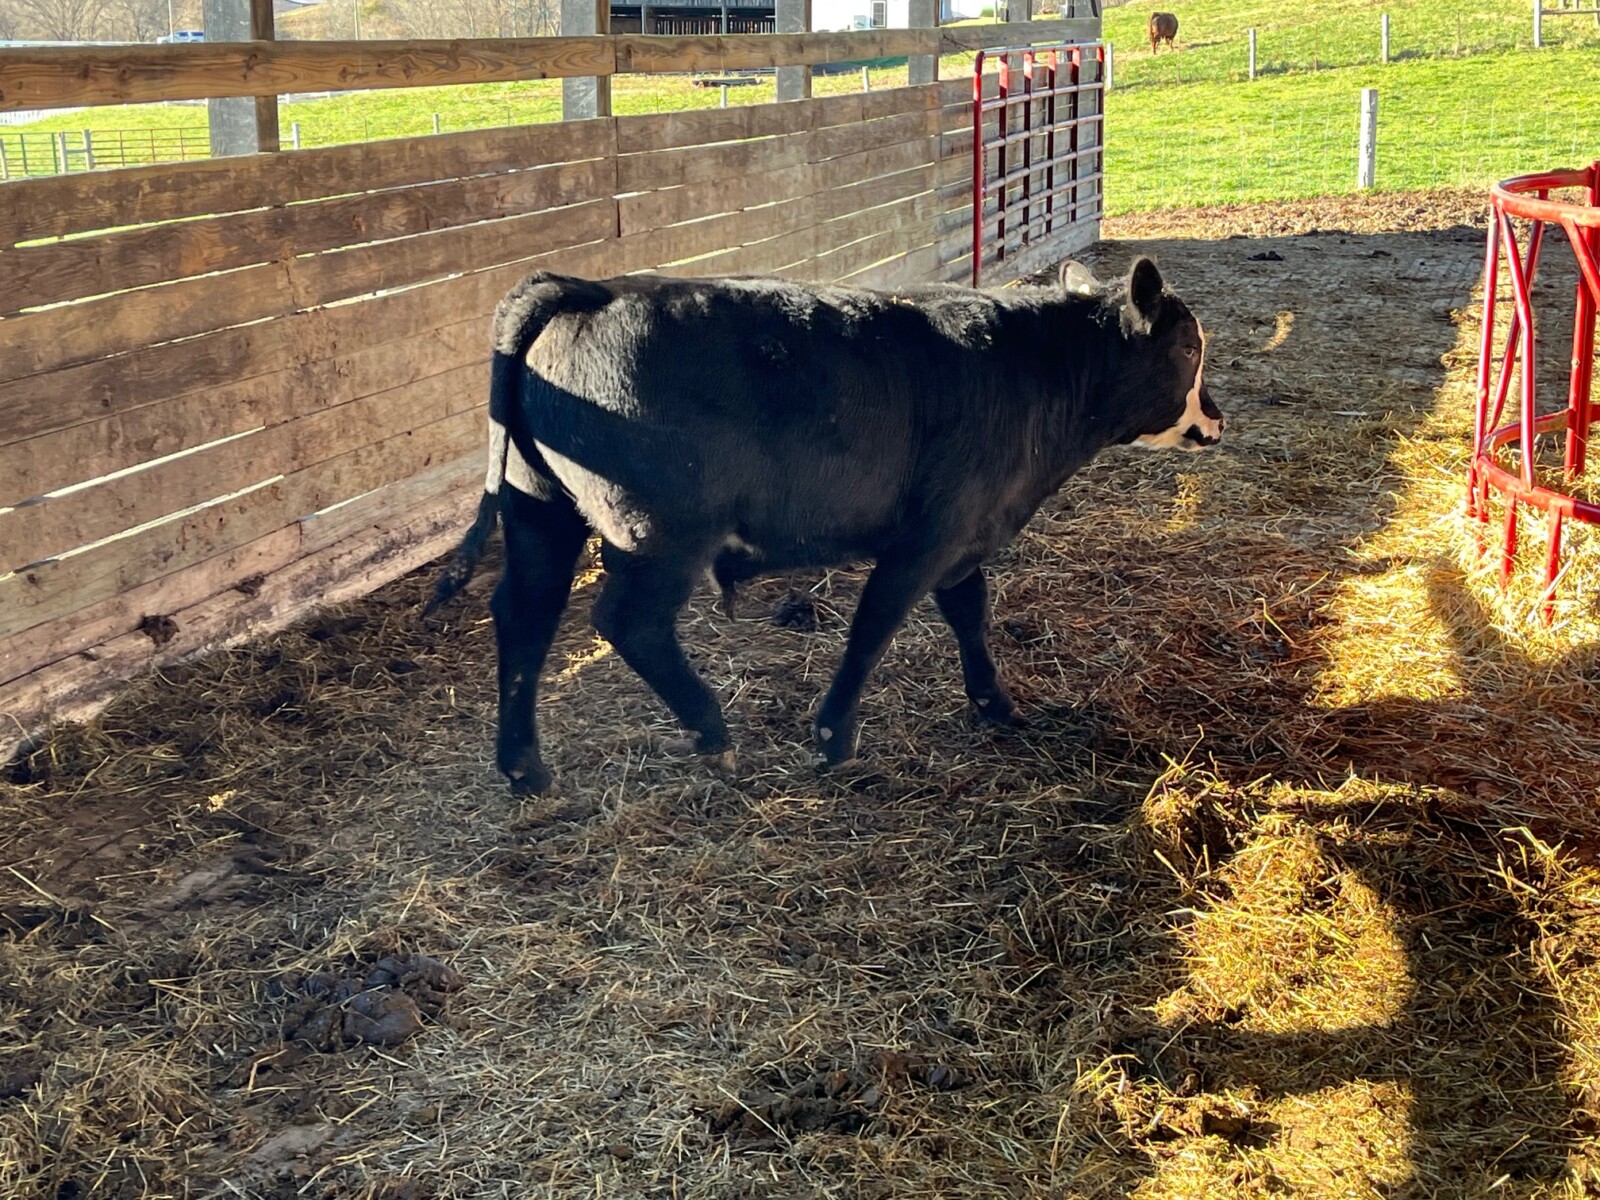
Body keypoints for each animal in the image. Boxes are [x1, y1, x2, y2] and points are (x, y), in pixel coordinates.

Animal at [427, 258, 1223, 796]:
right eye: (1188, 349)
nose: (1215, 419)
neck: (1035, 369)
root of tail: (592, 289)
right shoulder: (926, 538)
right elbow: (874, 628)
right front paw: (834, 735)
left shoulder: (966, 537)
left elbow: (970, 612)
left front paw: (994, 703)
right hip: (660, 534)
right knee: (629, 621)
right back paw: (712, 732)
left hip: (540, 509)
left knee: (524, 615)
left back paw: (525, 767)